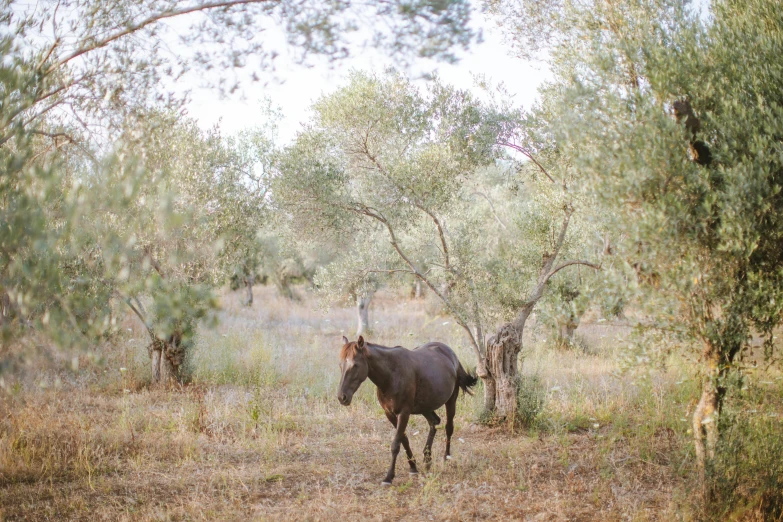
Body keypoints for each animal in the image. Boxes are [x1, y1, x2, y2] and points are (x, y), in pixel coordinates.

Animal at [334, 334, 474, 484]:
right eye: (340, 365)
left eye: (355, 365)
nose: (342, 397)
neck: (391, 374)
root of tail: (451, 354)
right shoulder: (390, 414)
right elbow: (403, 440)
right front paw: (413, 467)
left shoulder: (404, 412)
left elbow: (396, 444)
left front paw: (389, 476)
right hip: (425, 406)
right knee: (434, 422)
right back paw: (427, 458)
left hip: (451, 400)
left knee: (449, 427)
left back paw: (446, 457)